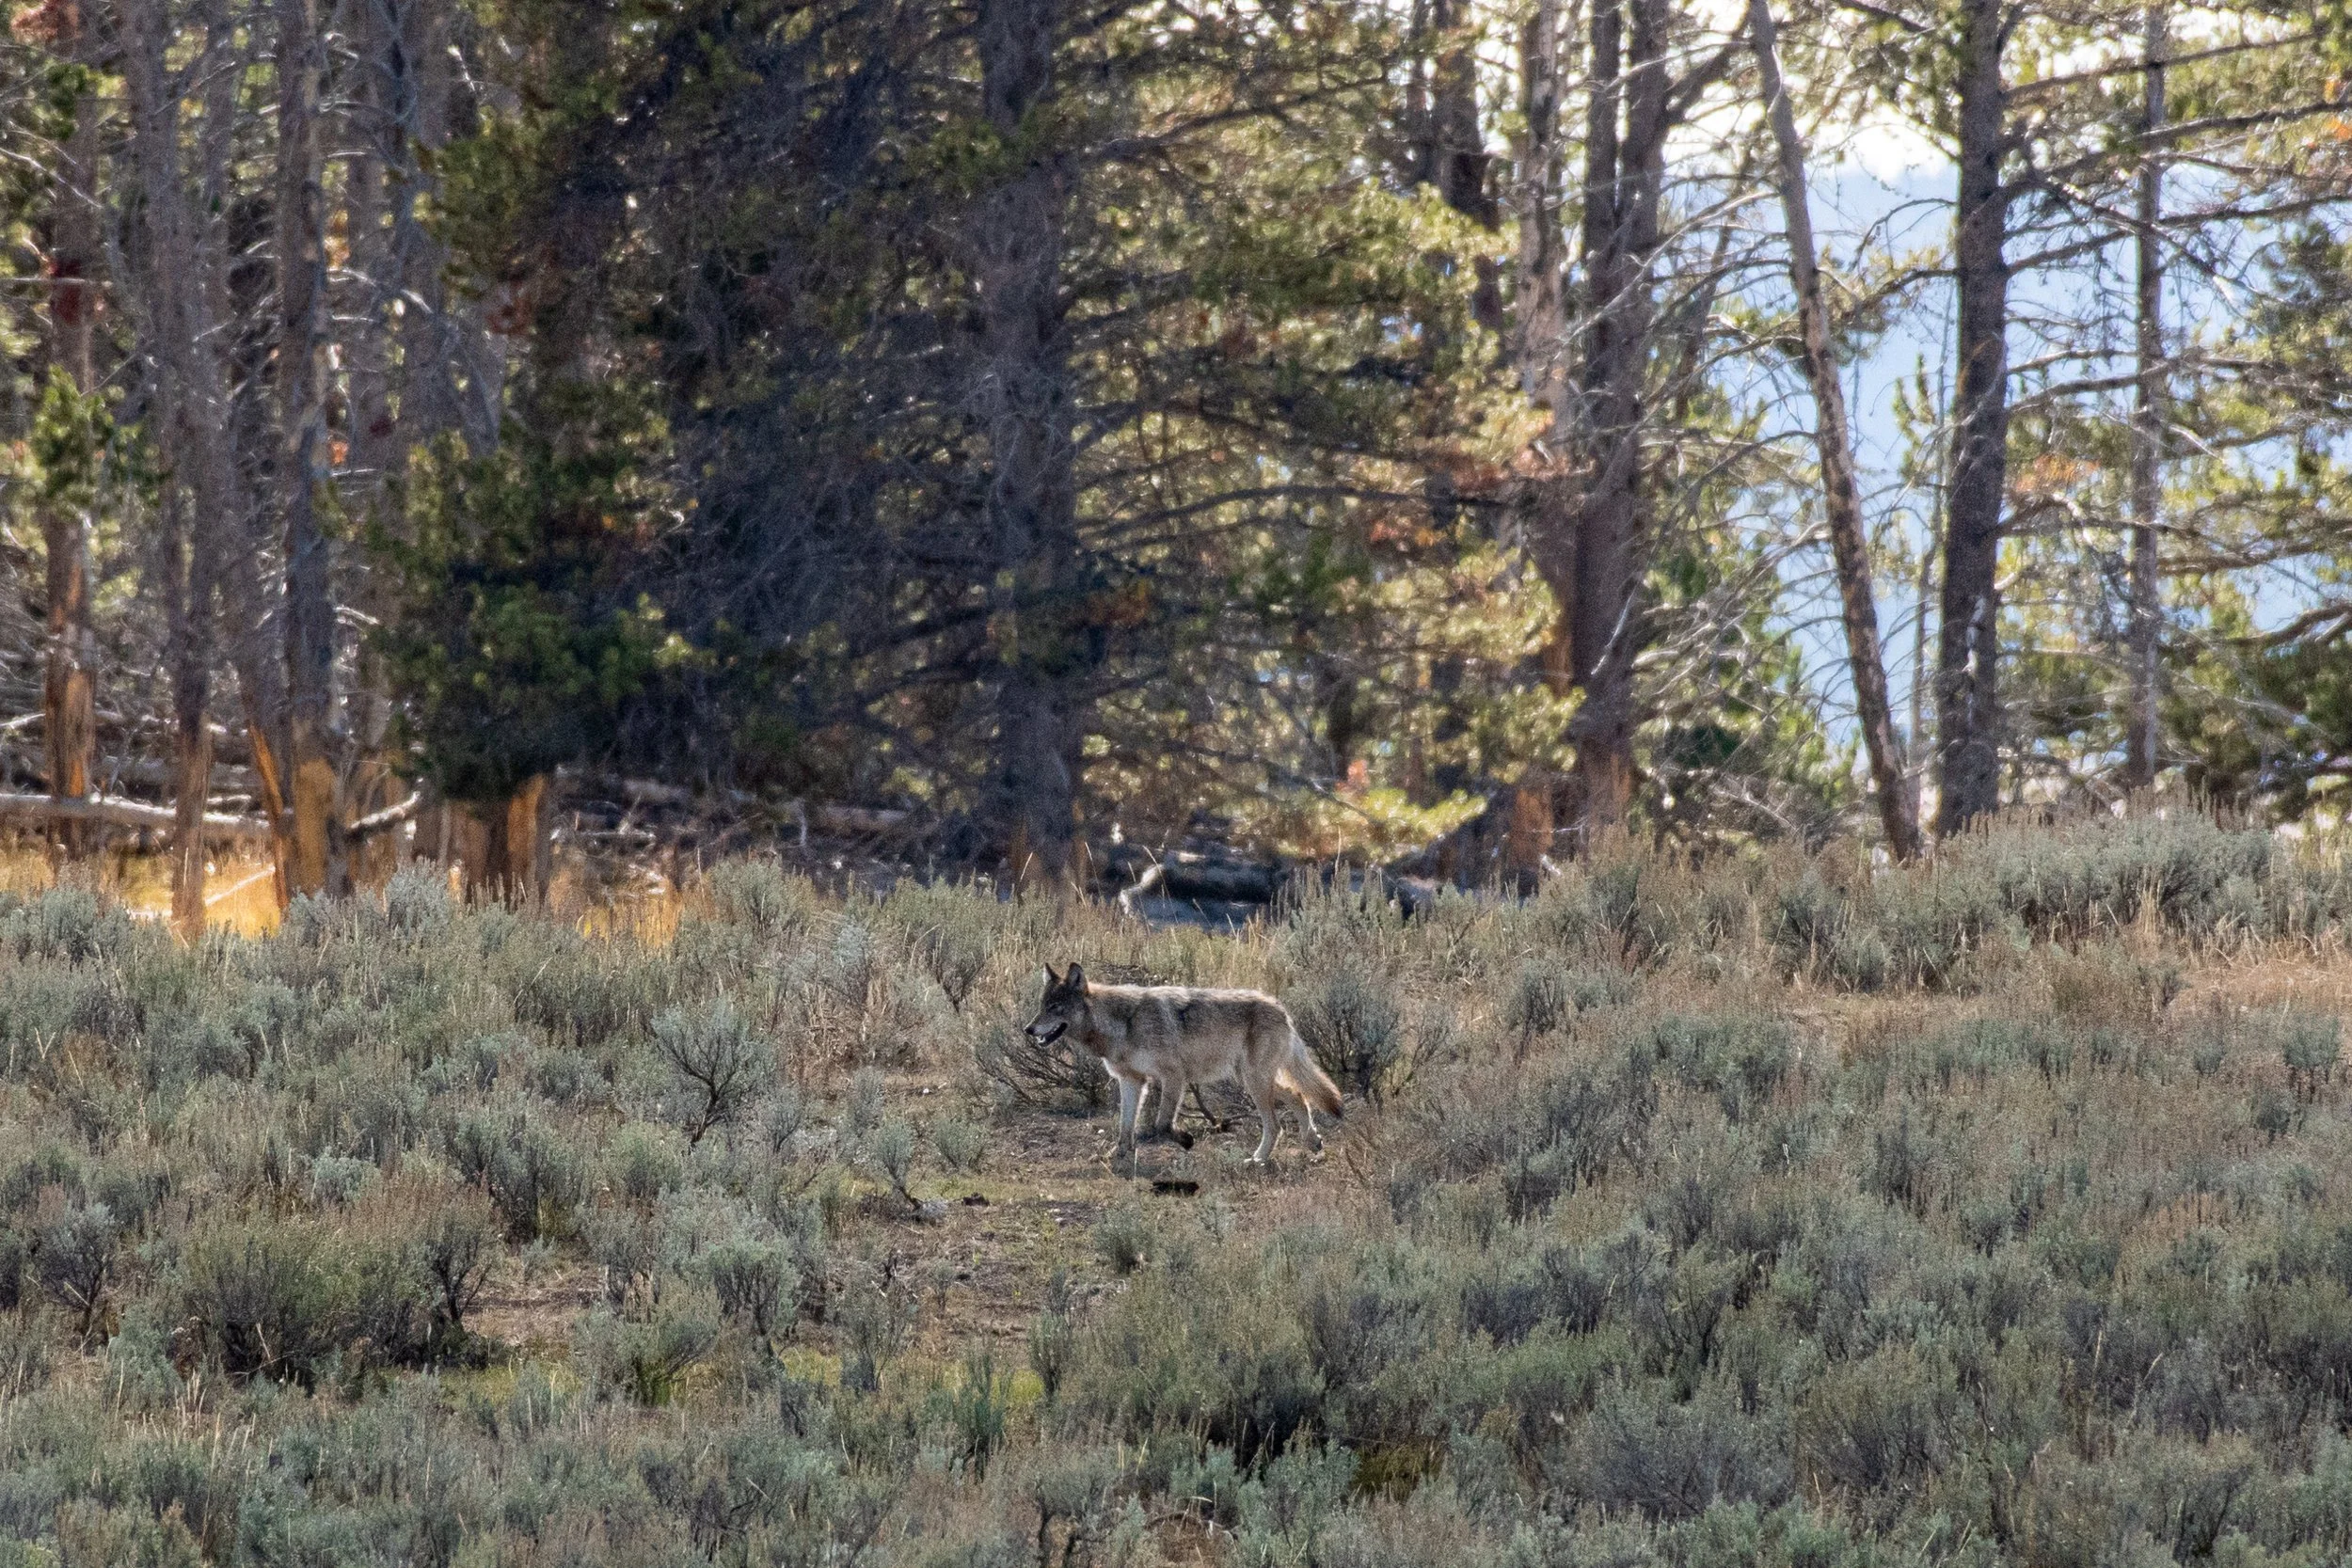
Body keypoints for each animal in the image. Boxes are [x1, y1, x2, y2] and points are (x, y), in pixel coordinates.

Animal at [1023, 964, 1343, 1165]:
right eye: (1041, 1006)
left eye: (1055, 1008)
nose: (1028, 1029)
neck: (1124, 1024)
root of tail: (1280, 1007)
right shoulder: (1131, 1081)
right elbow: (1125, 1127)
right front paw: (1120, 1157)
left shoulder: (1173, 1077)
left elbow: (1162, 1124)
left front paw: (1186, 1140)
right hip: (1251, 1079)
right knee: (1298, 1095)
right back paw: (1312, 1141)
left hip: (1254, 1082)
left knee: (1275, 1124)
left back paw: (1258, 1160)